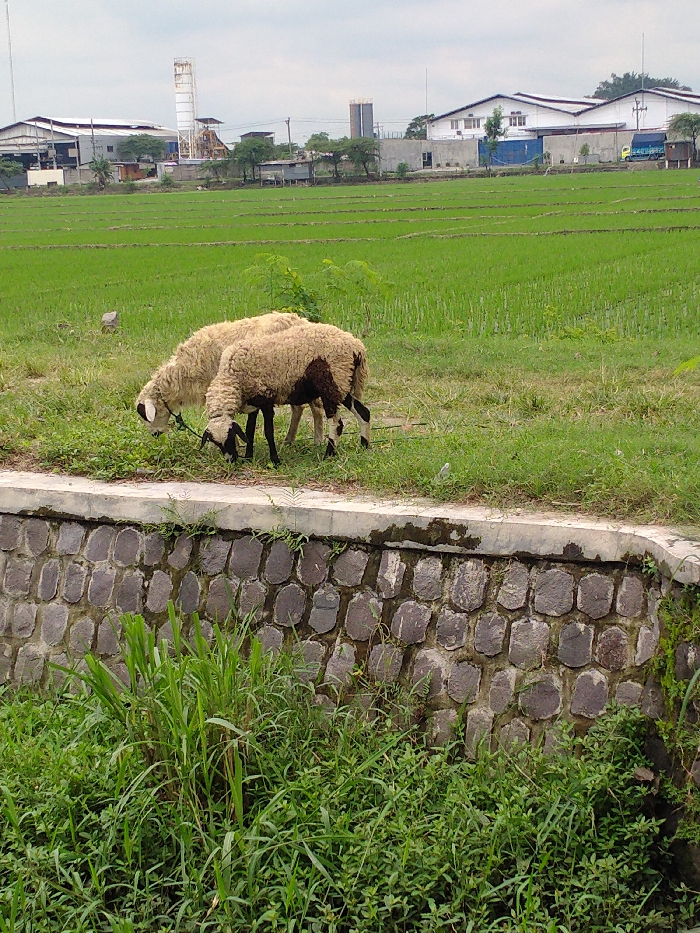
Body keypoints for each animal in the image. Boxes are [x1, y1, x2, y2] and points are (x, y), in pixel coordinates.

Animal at [135, 312, 325, 451]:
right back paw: (290, 440)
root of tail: (303, 321)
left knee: (314, 408)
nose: (155, 435)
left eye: (145, 414)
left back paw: (317, 441)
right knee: (302, 408)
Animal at [202, 322, 370, 465]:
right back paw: (364, 446)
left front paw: (275, 461)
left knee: (336, 423)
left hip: (332, 380)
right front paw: (249, 457)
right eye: (216, 443)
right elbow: (249, 431)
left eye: (230, 437)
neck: (233, 378)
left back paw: (328, 455)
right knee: (363, 412)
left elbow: (268, 432)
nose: (231, 460)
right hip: (341, 383)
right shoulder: (253, 401)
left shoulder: (266, 398)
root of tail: (357, 346)